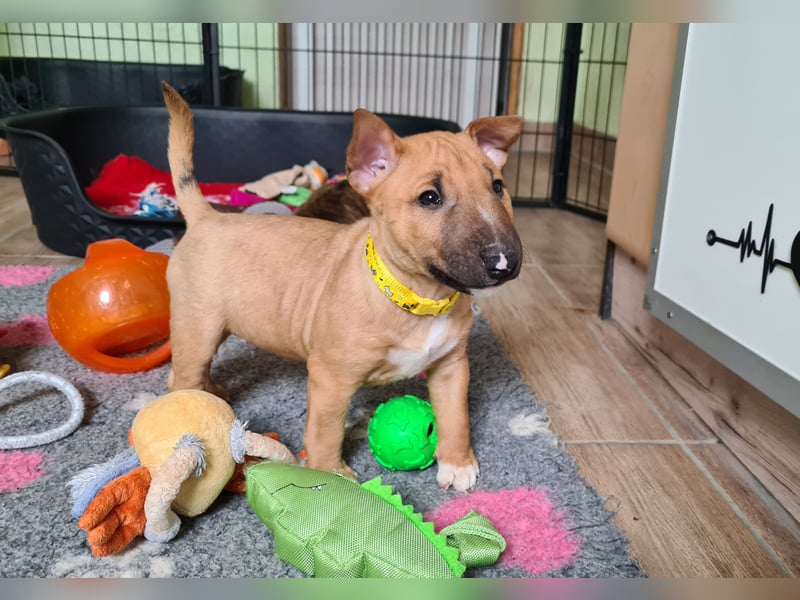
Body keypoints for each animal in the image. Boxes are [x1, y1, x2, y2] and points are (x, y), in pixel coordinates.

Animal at [162, 82, 524, 490]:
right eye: (429, 197)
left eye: (497, 186)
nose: (504, 262)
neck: (418, 298)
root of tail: (205, 217)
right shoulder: (330, 379)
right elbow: (326, 431)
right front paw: (329, 477)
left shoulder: (452, 366)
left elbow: (456, 417)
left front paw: (458, 463)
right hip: (198, 326)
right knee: (183, 375)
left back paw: (212, 392)